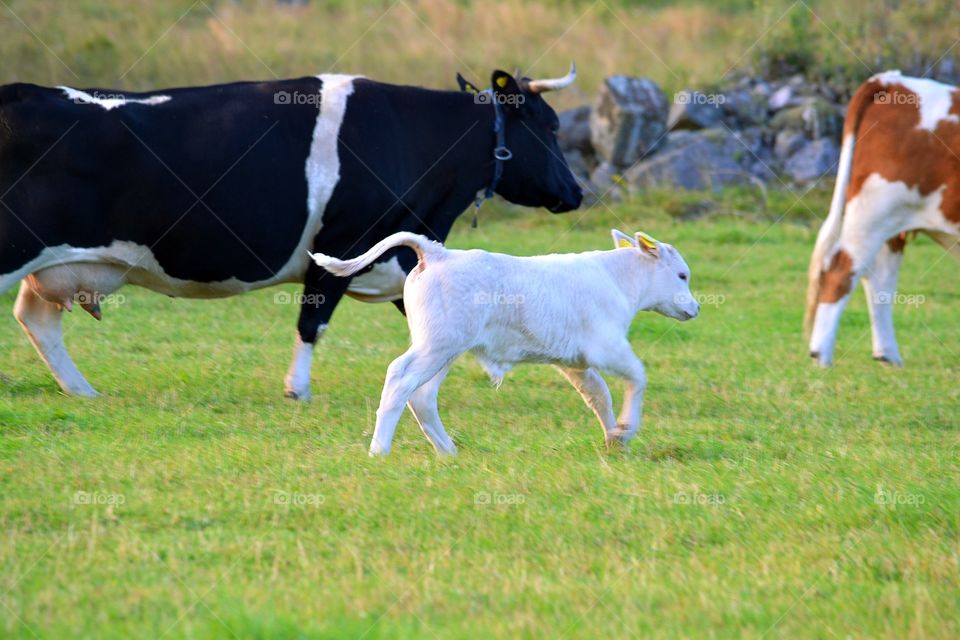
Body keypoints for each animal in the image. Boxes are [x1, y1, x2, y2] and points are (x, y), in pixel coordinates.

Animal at [0, 65, 583, 397]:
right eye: (551, 126)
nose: (576, 193)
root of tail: (19, 93)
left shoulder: (398, 253)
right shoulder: (344, 242)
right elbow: (313, 321)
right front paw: (296, 389)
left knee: (37, 319)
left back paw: (81, 391)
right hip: (17, 246)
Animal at [310, 229, 699, 455]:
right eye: (682, 275)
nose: (695, 308)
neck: (617, 278)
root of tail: (436, 253)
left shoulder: (574, 362)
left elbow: (598, 395)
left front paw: (614, 438)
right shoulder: (607, 347)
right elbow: (638, 377)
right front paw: (627, 429)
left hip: (444, 350)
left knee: (421, 395)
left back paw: (448, 450)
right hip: (436, 346)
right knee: (398, 379)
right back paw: (379, 450)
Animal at [806, 71, 960, 367]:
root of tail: (892, 81)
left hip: (890, 224)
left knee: (878, 279)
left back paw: (888, 354)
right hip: (873, 212)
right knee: (841, 271)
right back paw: (821, 354)